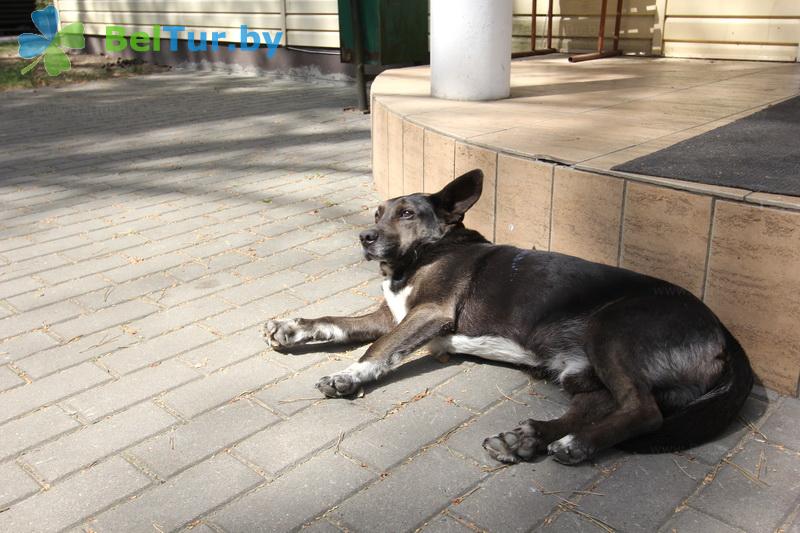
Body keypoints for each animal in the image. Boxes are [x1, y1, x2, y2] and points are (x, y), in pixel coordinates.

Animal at [264, 168, 756, 464]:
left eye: (405, 213)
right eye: (377, 212)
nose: (365, 237)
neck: (422, 255)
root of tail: (727, 335)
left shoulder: (427, 314)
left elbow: (378, 349)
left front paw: (347, 376)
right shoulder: (390, 315)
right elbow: (340, 322)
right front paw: (293, 328)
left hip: (611, 330)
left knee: (643, 411)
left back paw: (574, 444)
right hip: (583, 373)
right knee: (603, 405)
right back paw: (528, 438)